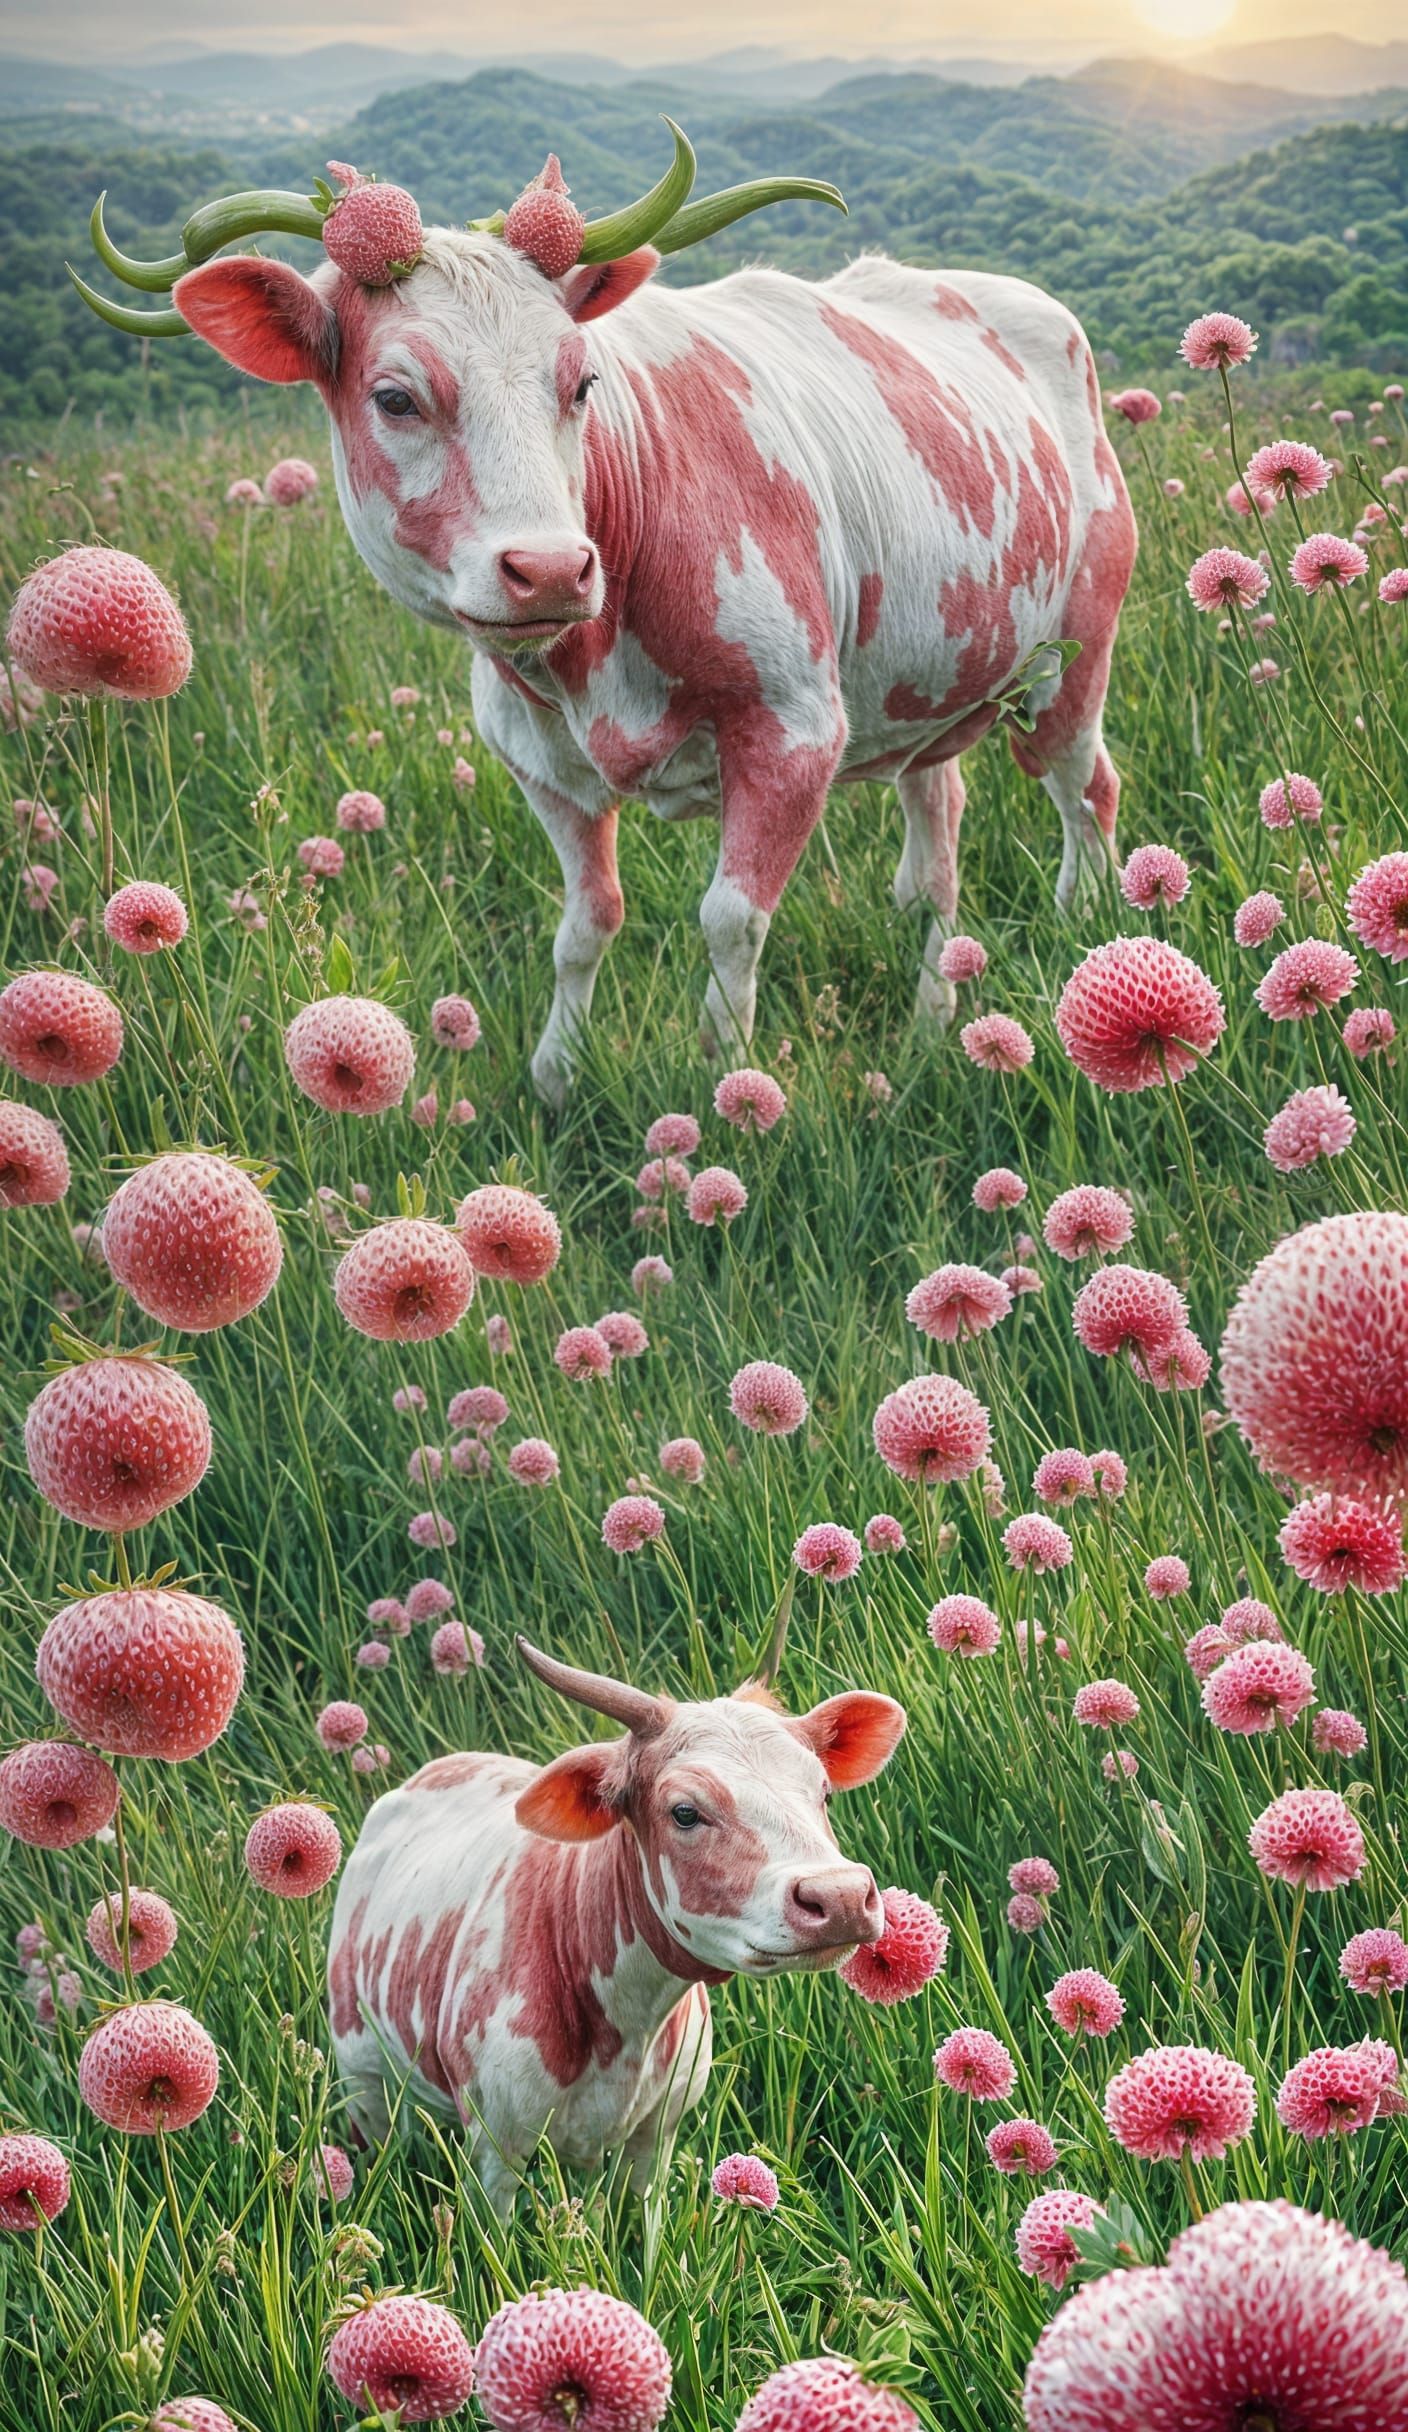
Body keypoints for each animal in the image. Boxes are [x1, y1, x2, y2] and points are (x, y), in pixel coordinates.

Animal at [80, 144, 1136, 1102]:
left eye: (582, 383)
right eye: (394, 396)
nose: (550, 567)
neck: (596, 658)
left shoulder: (795, 731)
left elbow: (732, 921)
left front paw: (730, 1085)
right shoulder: (537, 763)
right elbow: (584, 923)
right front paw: (558, 1074)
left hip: (1074, 654)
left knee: (1084, 787)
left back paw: (1085, 930)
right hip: (934, 679)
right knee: (935, 843)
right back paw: (929, 1020)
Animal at [326, 1637, 904, 2211]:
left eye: (824, 1792)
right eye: (685, 1812)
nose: (840, 1895)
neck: (630, 2021)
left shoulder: (656, 2134)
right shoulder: (496, 2147)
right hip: (362, 2080)